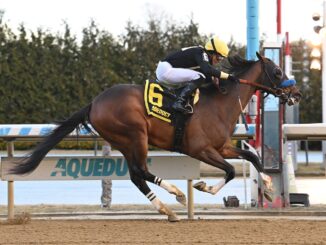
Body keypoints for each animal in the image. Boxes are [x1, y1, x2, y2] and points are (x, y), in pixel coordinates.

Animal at [10, 52, 300, 221]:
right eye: (277, 72)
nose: (295, 93)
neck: (218, 102)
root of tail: (94, 103)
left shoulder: (221, 147)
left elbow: (251, 157)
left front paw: (268, 184)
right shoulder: (201, 149)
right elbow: (229, 170)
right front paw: (201, 186)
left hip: (125, 142)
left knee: (137, 176)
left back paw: (168, 208)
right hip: (135, 135)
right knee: (141, 171)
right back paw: (175, 197)